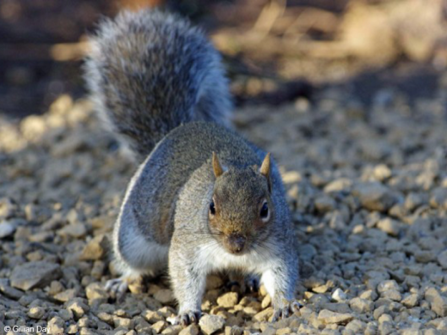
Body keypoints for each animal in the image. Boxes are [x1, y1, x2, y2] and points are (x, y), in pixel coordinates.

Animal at [84, 8, 300, 328]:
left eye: (265, 209)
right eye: (211, 207)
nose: (236, 245)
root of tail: (178, 130)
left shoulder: (279, 245)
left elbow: (281, 275)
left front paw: (285, 304)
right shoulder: (187, 245)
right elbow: (185, 277)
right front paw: (187, 311)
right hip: (131, 239)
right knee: (133, 262)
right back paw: (123, 280)